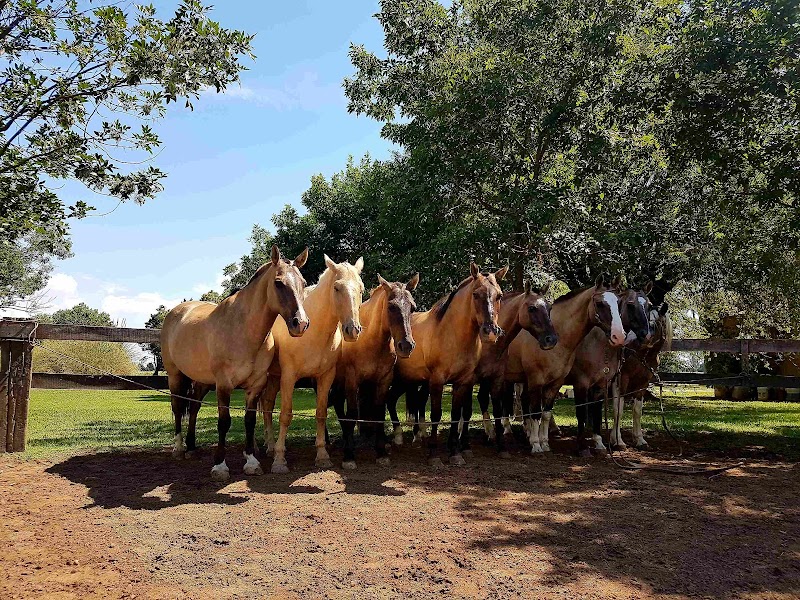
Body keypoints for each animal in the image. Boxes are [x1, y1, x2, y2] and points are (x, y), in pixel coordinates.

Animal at [160, 245, 310, 481]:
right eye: (278, 283)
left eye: (303, 283)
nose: (301, 323)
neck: (243, 331)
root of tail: (177, 312)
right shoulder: (224, 385)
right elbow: (224, 422)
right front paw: (220, 466)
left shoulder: (255, 385)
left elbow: (249, 421)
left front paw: (252, 462)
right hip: (175, 376)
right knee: (177, 406)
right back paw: (179, 448)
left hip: (202, 381)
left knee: (193, 407)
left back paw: (192, 447)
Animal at [260, 255, 365, 473]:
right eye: (337, 288)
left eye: (361, 289)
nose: (352, 330)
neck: (313, 331)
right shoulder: (289, 377)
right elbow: (286, 415)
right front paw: (280, 460)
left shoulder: (325, 377)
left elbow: (321, 413)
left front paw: (322, 455)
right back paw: (271, 448)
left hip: (273, 377)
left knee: (267, 405)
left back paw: (270, 446)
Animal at [329, 273, 419, 469]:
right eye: (391, 307)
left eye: (412, 307)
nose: (406, 346)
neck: (369, 340)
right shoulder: (352, 380)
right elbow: (352, 413)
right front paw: (349, 456)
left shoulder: (383, 380)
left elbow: (379, 411)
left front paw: (381, 452)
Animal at [386, 262, 507, 466]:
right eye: (476, 294)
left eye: (499, 295)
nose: (490, 331)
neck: (451, 335)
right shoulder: (437, 381)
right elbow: (436, 415)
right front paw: (434, 455)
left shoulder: (462, 382)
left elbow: (456, 415)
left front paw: (455, 453)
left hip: (405, 381)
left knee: (393, 400)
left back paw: (405, 436)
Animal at [504, 274, 628, 454]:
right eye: (599, 304)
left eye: (618, 302)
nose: (619, 335)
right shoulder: (545, 381)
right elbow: (544, 413)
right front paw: (537, 444)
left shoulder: (560, 383)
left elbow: (547, 414)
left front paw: (545, 443)